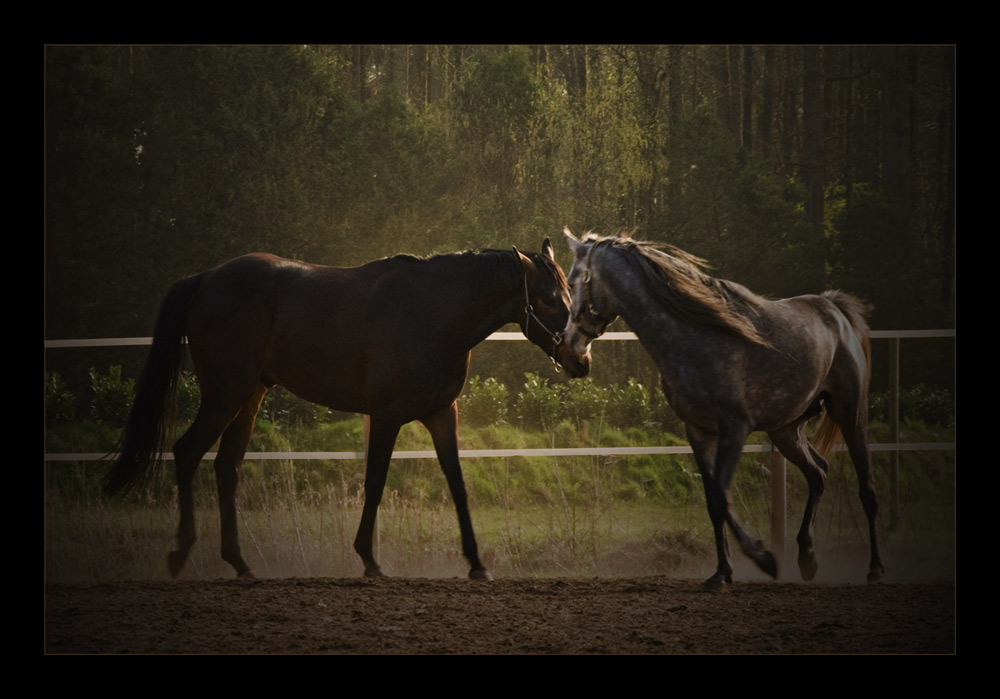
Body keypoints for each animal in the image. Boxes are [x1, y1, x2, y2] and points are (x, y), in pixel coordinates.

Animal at [104, 241, 584, 580]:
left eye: (569, 296)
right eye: (548, 300)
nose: (581, 360)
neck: (433, 313)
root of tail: (205, 278)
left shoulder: (441, 414)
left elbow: (458, 486)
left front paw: (477, 563)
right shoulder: (387, 416)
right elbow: (374, 483)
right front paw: (369, 559)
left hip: (249, 397)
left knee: (227, 467)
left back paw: (239, 563)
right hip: (225, 393)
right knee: (187, 453)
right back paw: (181, 552)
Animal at [564, 231, 884, 592]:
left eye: (573, 281)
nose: (570, 350)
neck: (694, 336)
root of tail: (834, 309)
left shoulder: (735, 428)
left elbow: (720, 494)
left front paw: (763, 560)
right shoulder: (698, 431)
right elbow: (714, 500)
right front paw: (723, 572)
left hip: (850, 413)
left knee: (867, 488)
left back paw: (875, 569)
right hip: (786, 429)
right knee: (818, 473)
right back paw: (807, 558)